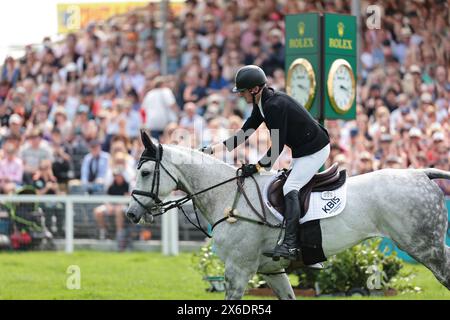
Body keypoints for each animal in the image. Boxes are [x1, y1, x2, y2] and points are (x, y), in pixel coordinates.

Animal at [125, 132, 450, 298]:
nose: (130, 213)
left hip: (424, 247)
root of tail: (422, 173)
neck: (226, 197)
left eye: (145, 172)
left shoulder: (238, 270)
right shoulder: (272, 271)